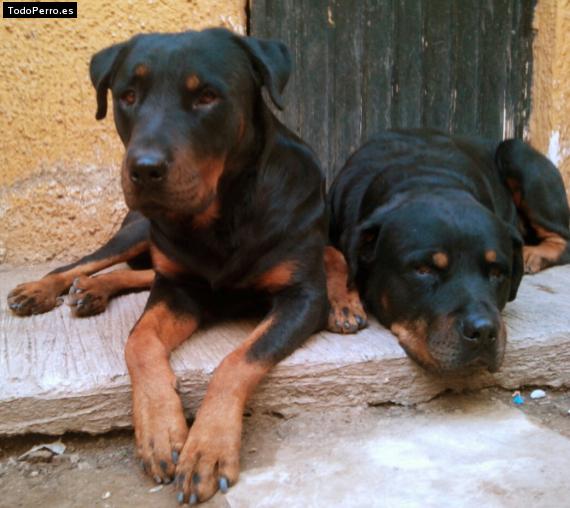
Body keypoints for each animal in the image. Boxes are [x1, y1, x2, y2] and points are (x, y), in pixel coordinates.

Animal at [6, 28, 362, 504]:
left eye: (207, 97)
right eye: (128, 96)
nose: (144, 169)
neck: (223, 213)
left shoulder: (300, 297)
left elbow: (238, 359)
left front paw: (207, 449)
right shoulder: (178, 290)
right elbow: (138, 341)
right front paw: (161, 431)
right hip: (140, 229)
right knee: (90, 261)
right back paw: (47, 289)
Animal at [328, 129, 568, 376]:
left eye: (497, 273)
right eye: (423, 270)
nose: (483, 331)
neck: (425, 180)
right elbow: (333, 255)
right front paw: (343, 304)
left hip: (515, 153)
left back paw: (533, 254)